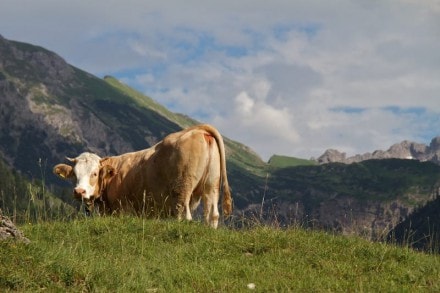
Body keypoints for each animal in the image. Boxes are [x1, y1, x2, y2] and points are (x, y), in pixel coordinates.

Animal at [52, 123, 232, 228]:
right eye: (74, 174)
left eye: (95, 173)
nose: (79, 191)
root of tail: (197, 129)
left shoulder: (121, 209)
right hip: (211, 185)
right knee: (212, 215)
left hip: (183, 188)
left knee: (184, 215)